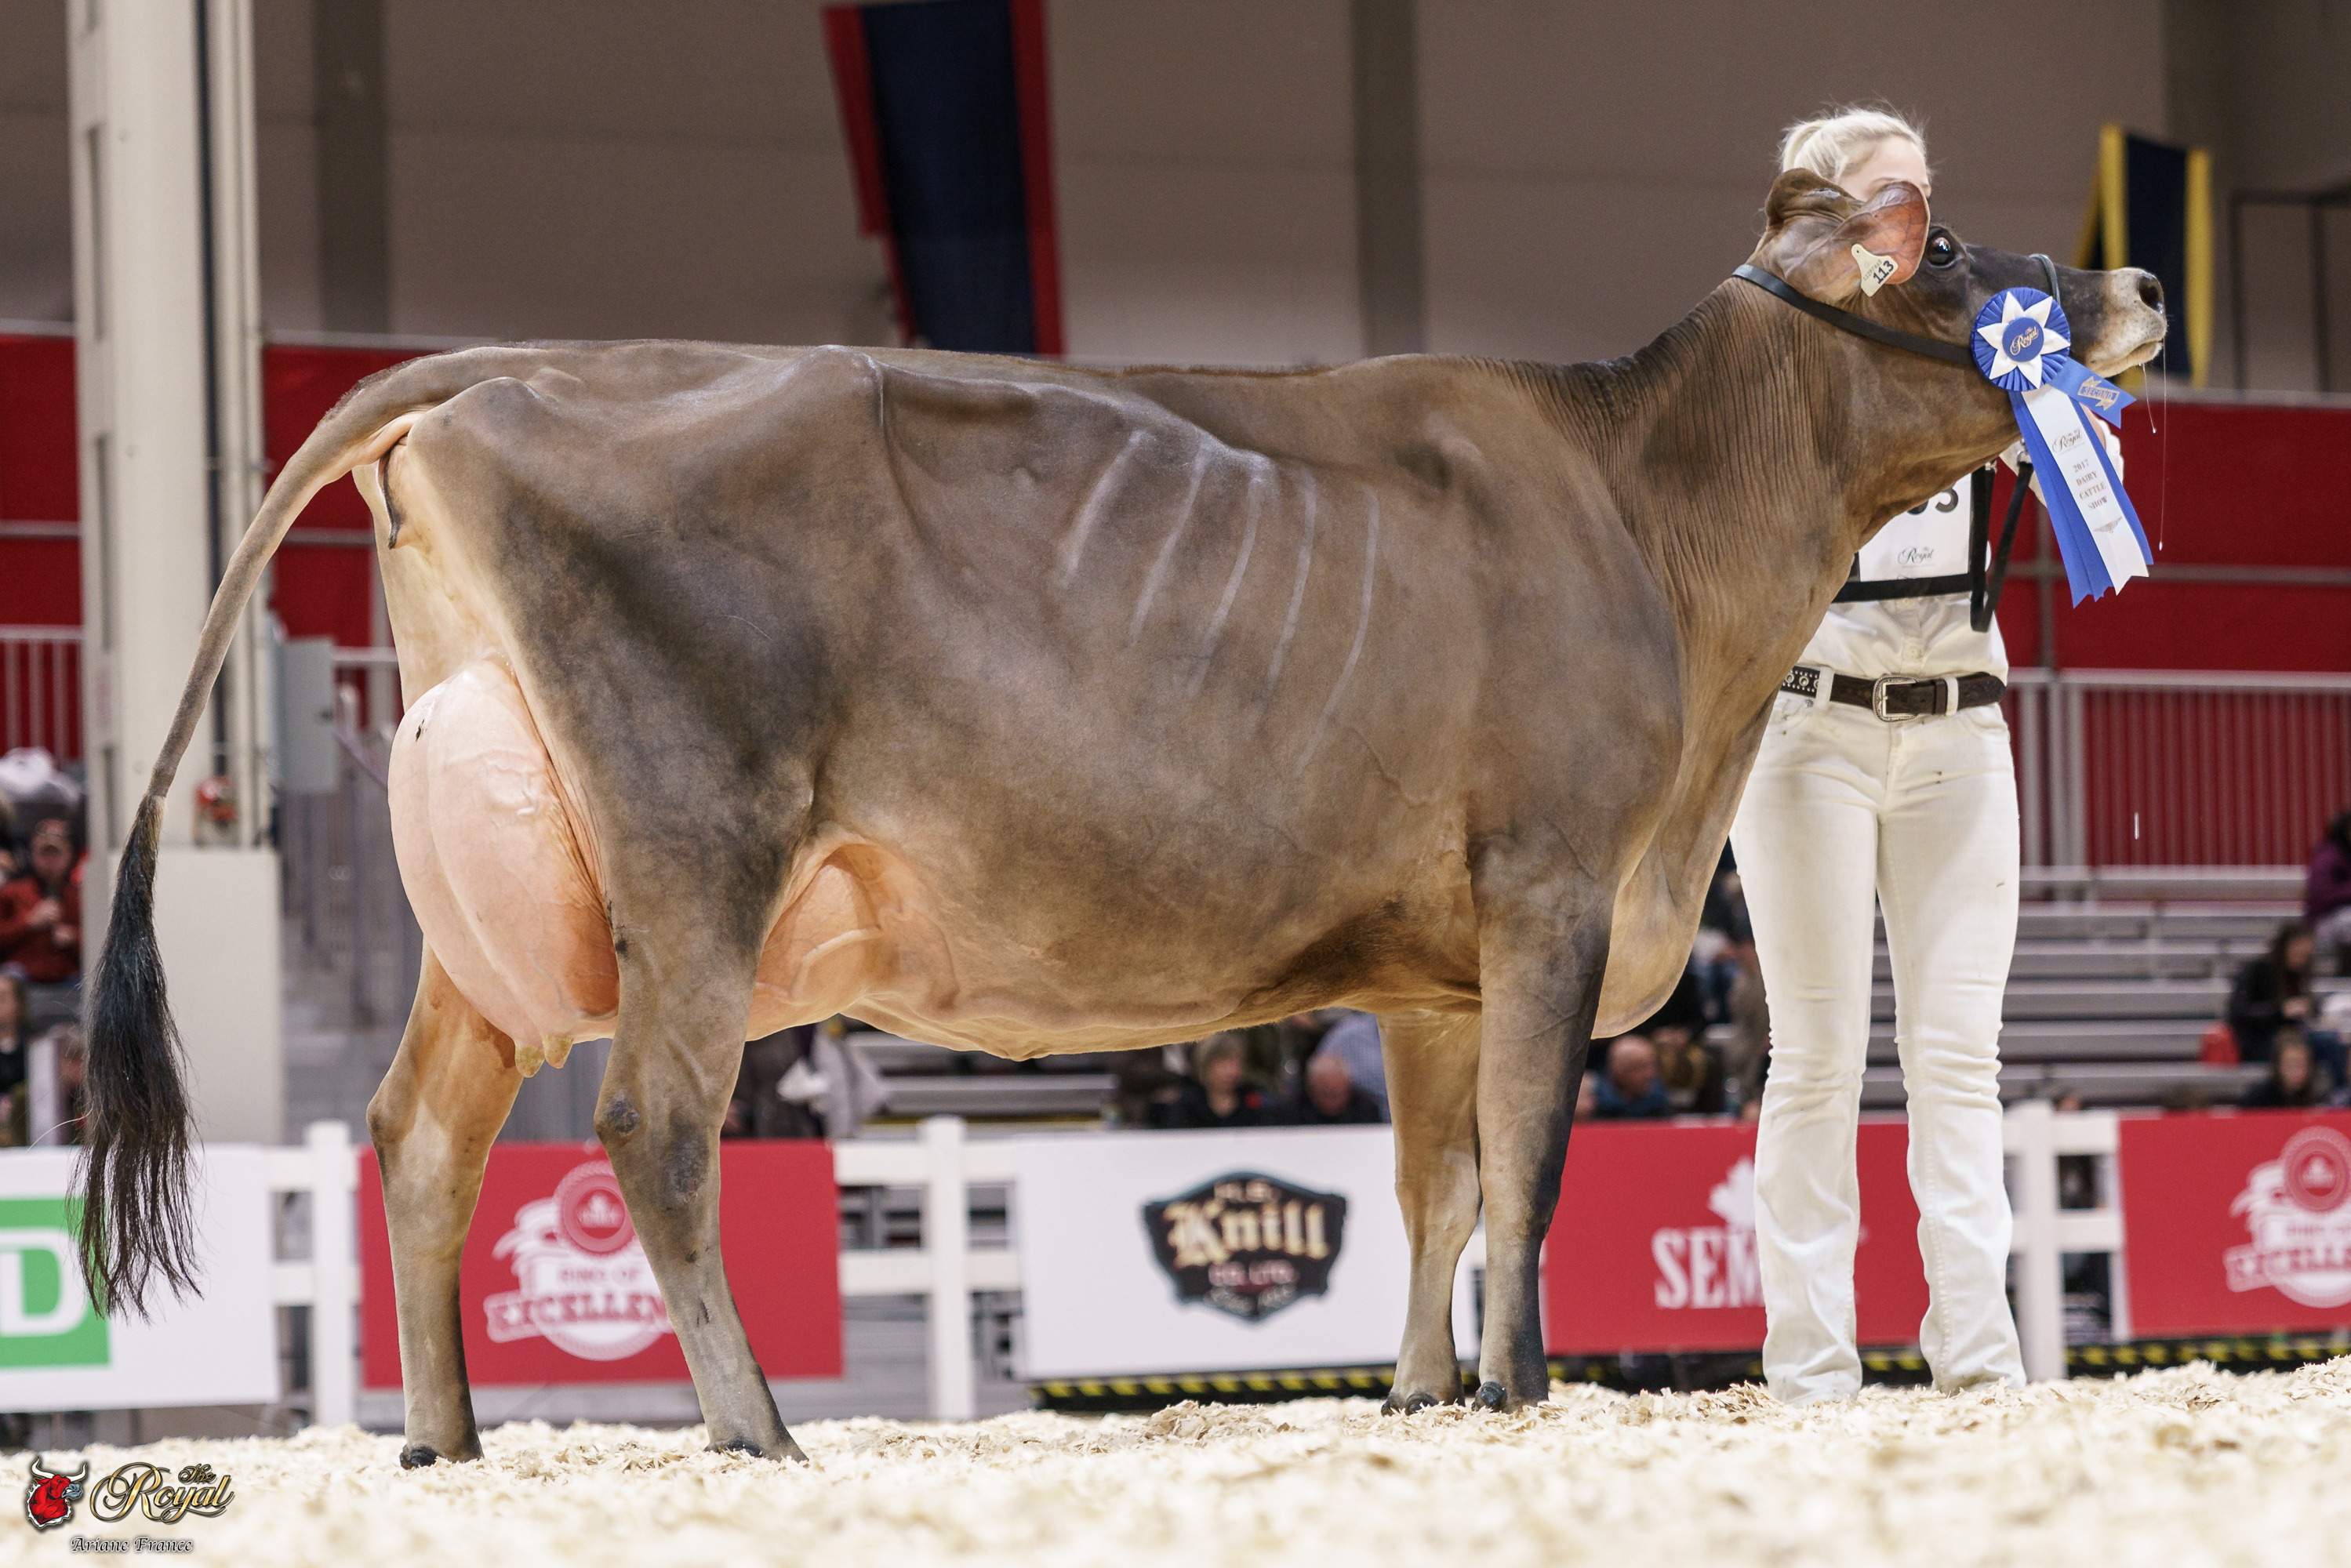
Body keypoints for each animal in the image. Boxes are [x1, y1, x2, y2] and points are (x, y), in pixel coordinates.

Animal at [78, 171, 2164, 1466]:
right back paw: (754, 1431)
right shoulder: (1555, 886)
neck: (1654, 515)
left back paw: (445, 1441)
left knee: (420, 1135)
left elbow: (1434, 1180)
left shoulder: (1432, 965)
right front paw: (1516, 1389)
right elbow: (1531, 1163)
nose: (2136, 285)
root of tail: (515, 368)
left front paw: (1416, 1395)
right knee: (653, 1133)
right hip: (692, 852)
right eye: (1948, 242)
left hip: (503, 906)